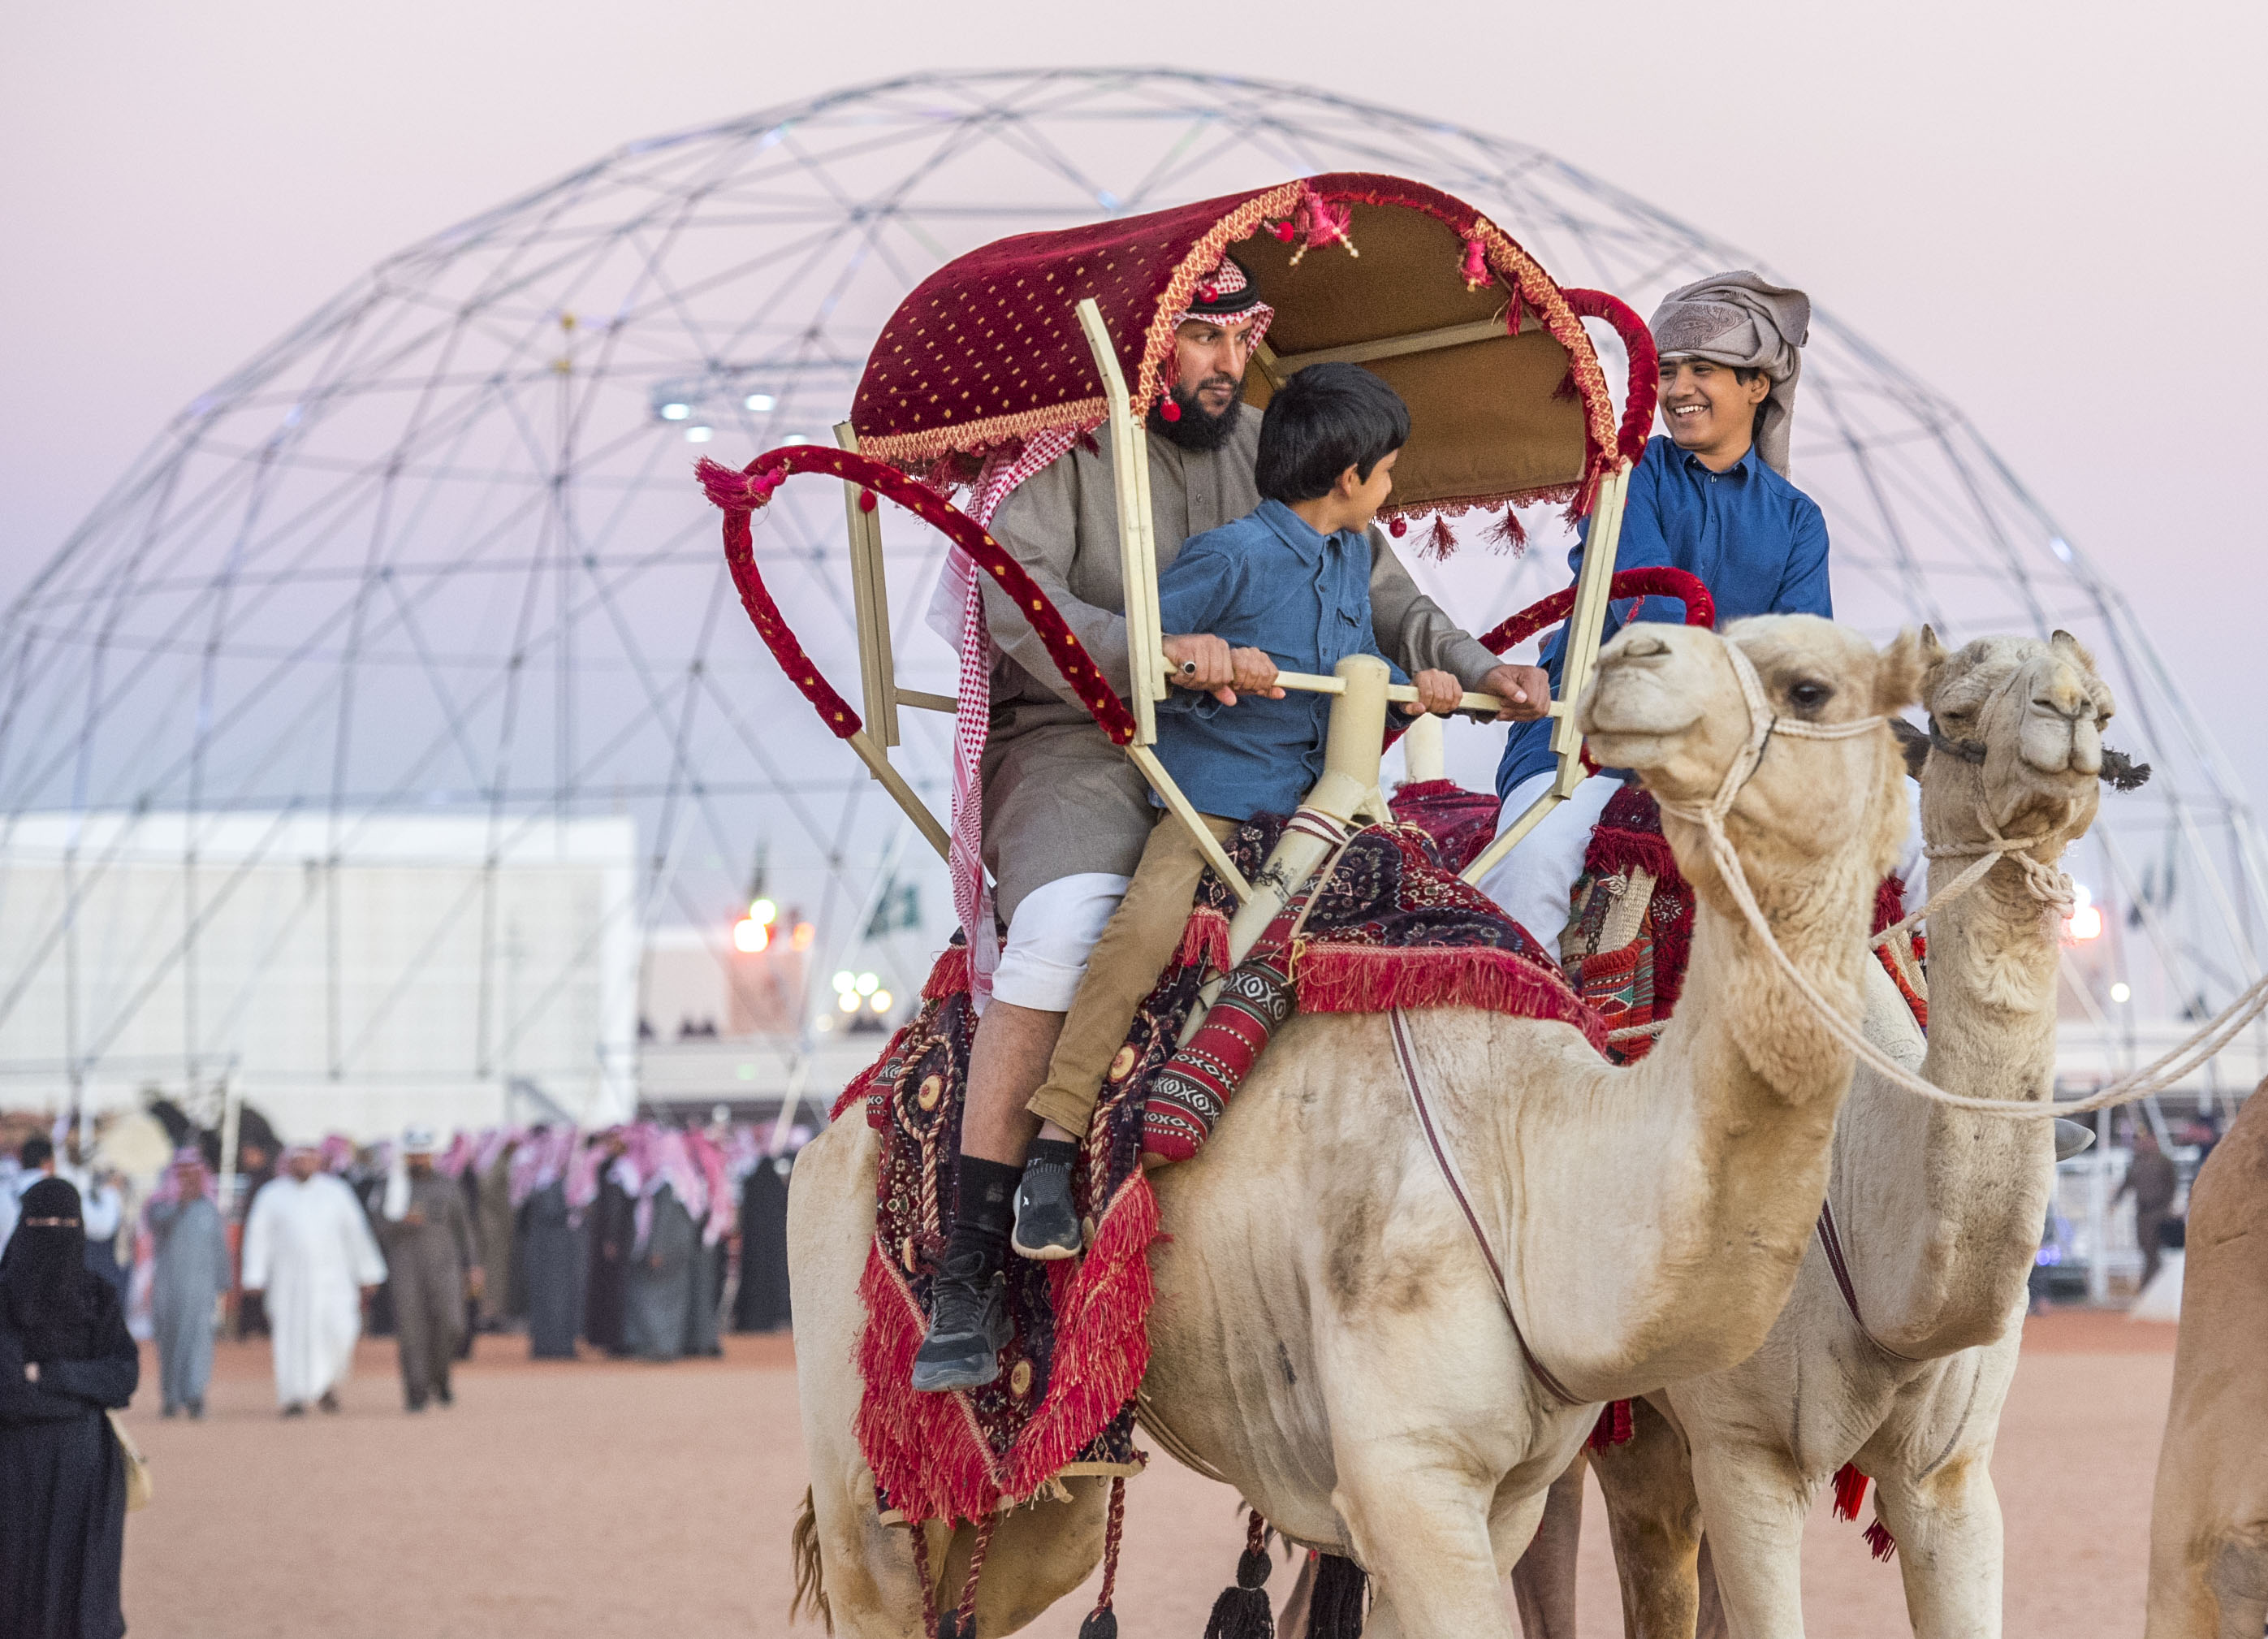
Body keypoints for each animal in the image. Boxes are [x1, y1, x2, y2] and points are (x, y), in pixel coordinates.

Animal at [788, 616, 1923, 1639]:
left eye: (1815, 684)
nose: (1637, 655)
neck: (1524, 1155)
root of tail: (846, 1112)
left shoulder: (1504, 1496)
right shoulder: (1409, 1474)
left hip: (1060, 1454)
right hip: (859, 1429)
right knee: (878, 1571)